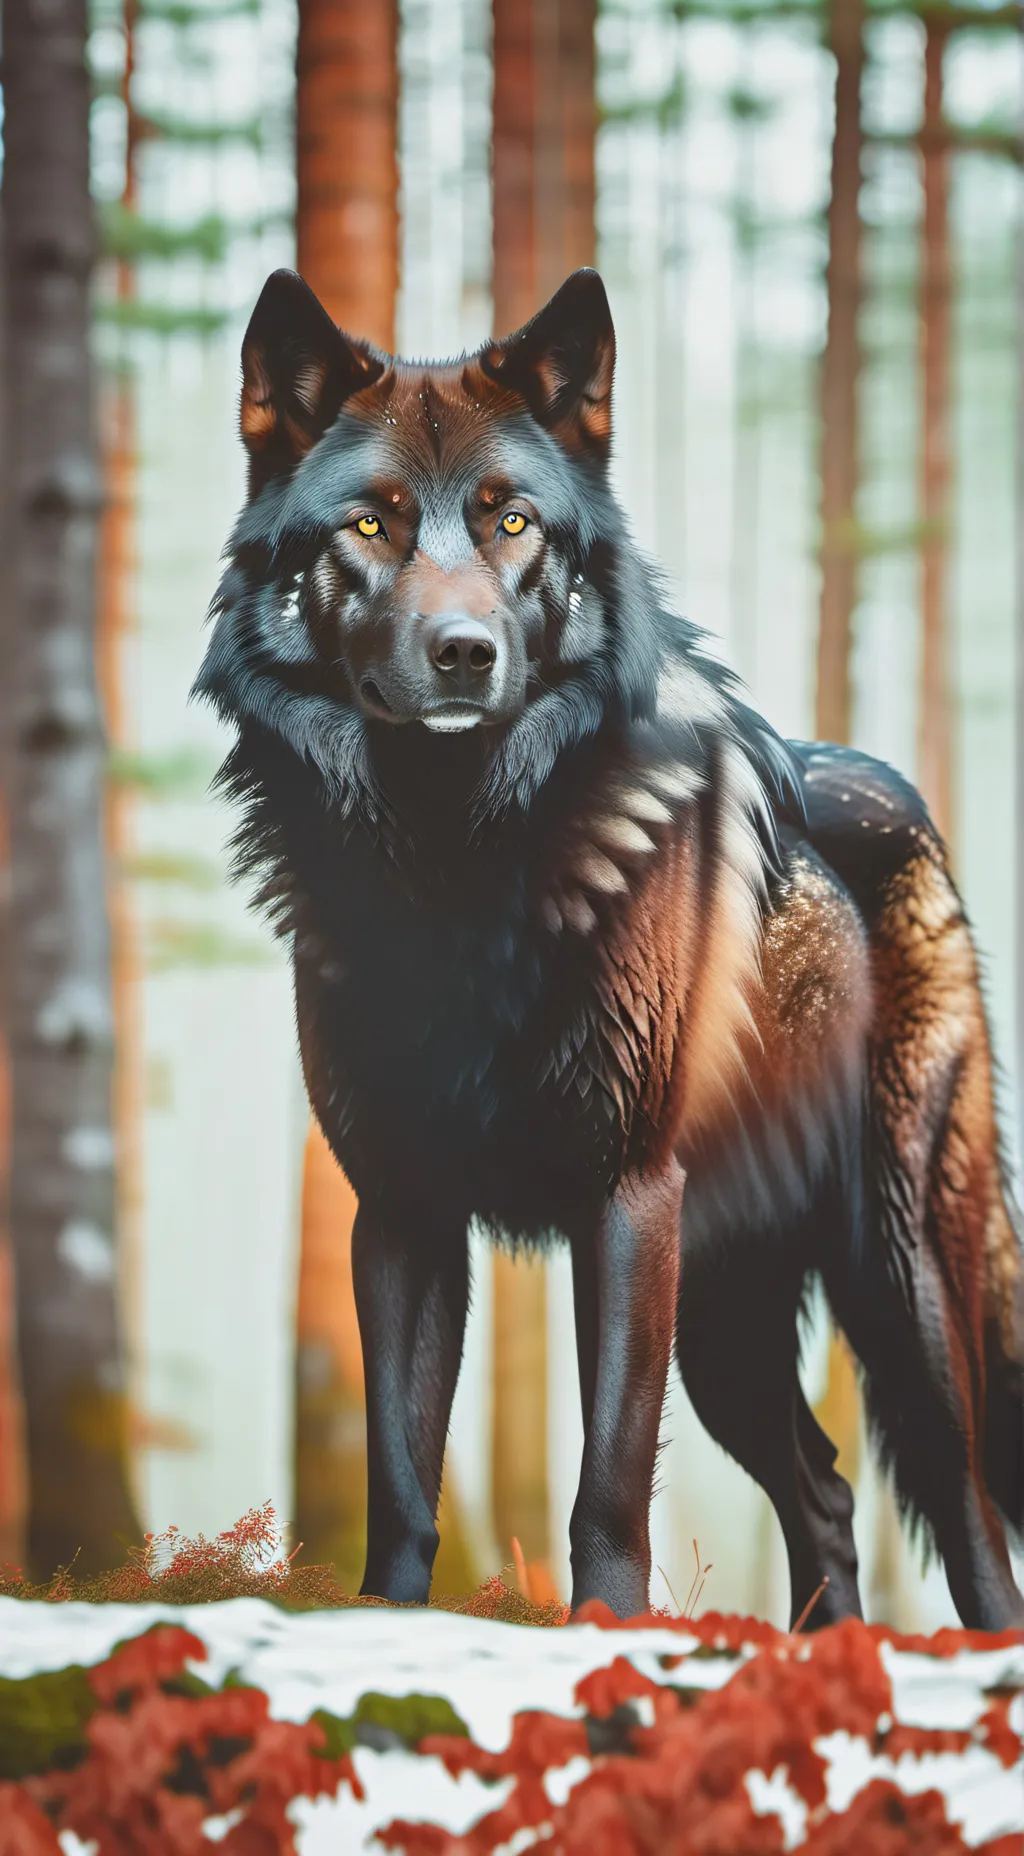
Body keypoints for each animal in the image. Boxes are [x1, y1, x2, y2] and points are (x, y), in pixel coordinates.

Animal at [195, 266, 1024, 1629]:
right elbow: (400, 1473)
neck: (453, 863)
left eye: (512, 520)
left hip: (890, 1279)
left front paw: (608, 1636)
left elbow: (608, 1474)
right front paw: (387, 1626)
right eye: (368, 525)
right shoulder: (401, 1208)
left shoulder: (627, 1198)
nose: (463, 652)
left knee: (964, 1505)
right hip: (727, 1322)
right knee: (826, 1486)